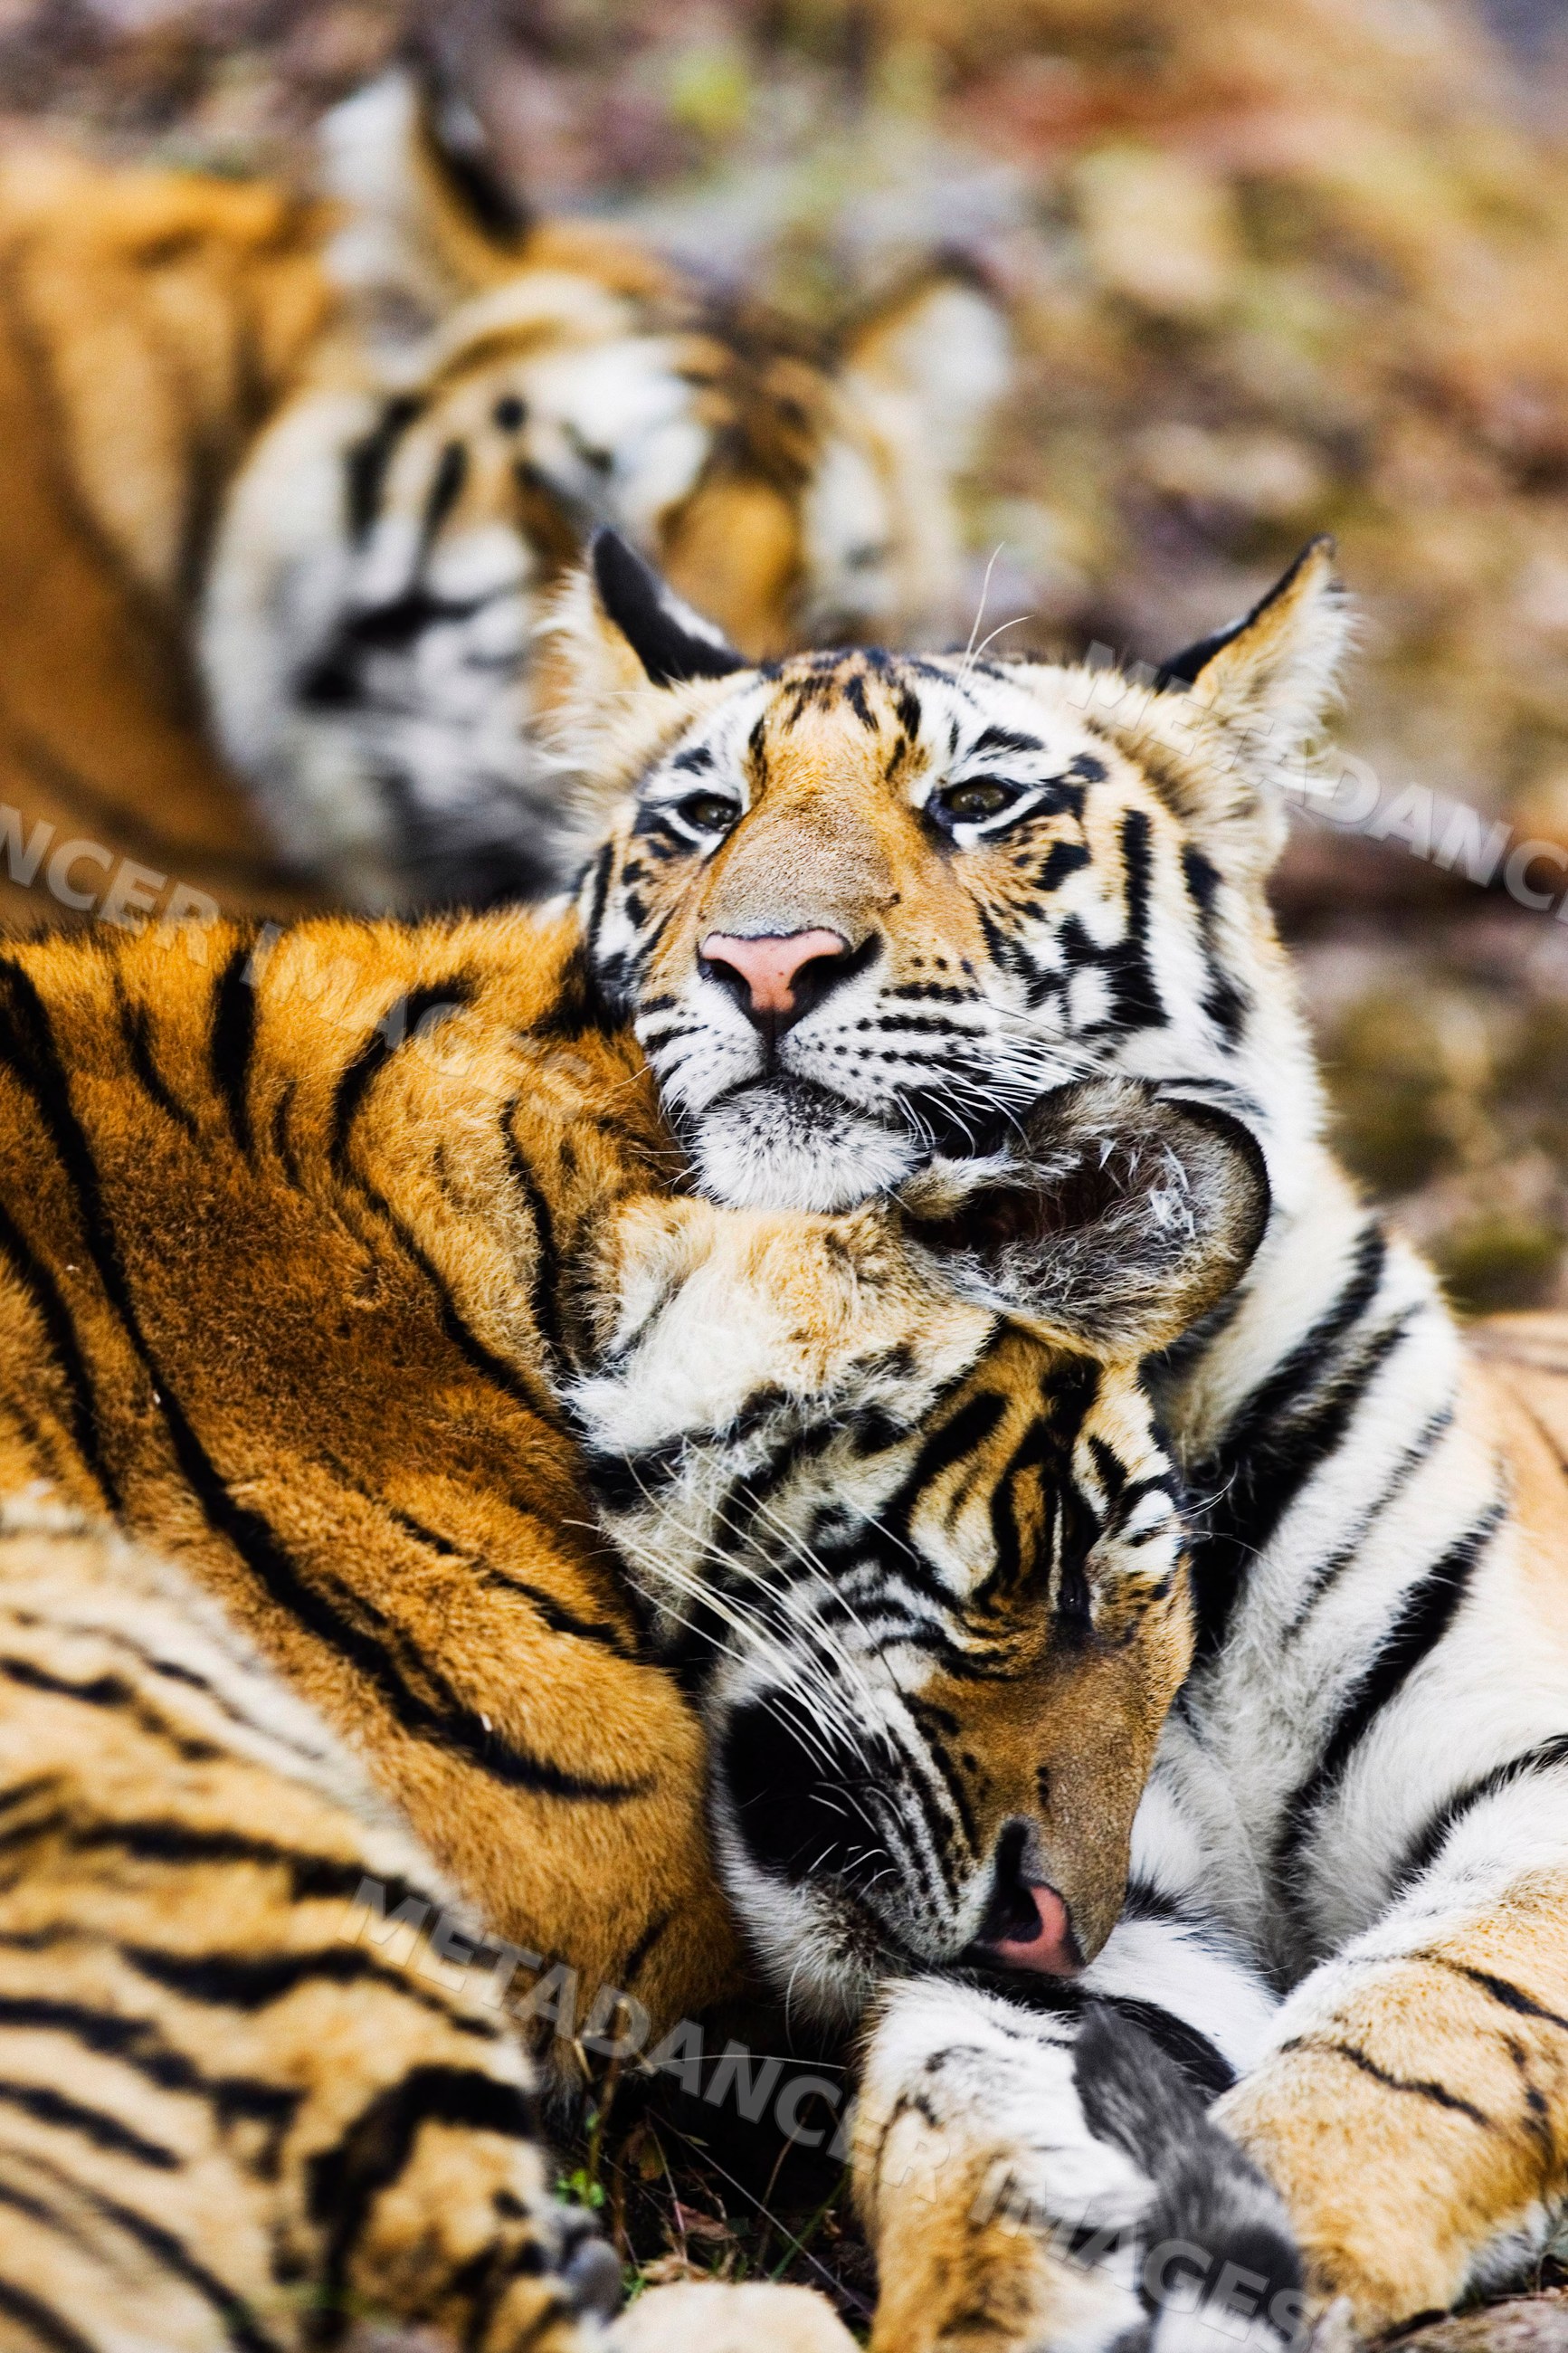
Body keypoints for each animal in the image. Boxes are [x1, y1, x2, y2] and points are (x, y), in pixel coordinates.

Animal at [530, 525, 1568, 2352]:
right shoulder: (1075, 1884)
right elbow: (964, 2084)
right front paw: (1007, 2285)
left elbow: (1405, 2048)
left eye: (976, 804)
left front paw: (1256, 2254)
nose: (765, 962)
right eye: (700, 818)